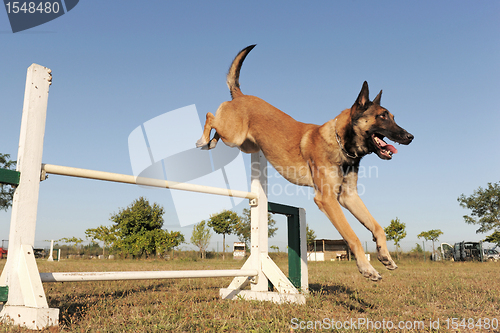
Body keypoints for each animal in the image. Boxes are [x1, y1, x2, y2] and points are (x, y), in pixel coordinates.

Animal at [197, 44, 412, 280]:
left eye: (392, 117)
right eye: (382, 116)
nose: (410, 137)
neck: (340, 142)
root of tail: (241, 96)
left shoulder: (349, 197)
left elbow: (377, 226)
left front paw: (385, 256)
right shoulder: (327, 199)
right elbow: (353, 236)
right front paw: (366, 267)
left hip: (245, 144)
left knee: (217, 127)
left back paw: (210, 142)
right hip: (234, 136)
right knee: (210, 115)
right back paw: (203, 140)